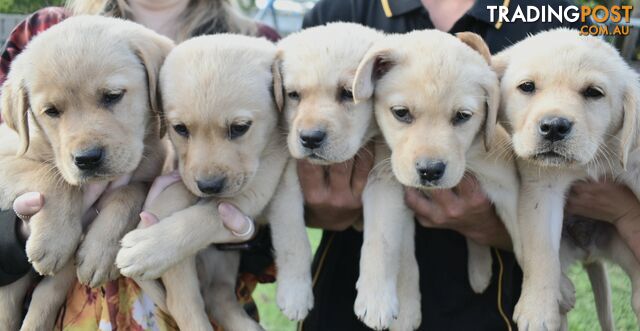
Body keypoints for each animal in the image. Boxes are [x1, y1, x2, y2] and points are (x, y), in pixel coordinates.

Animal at [0, 16, 170, 330]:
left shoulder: (147, 171)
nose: (87, 159)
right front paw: (54, 238)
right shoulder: (7, 157)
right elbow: (53, 177)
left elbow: (130, 192)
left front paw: (99, 254)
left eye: (112, 96)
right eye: (51, 111)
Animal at [115, 33, 316, 324]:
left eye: (240, 128)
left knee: (218, 299)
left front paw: (147, 246)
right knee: (186, 304)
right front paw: (149, 233)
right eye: (180, 129)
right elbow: (179, 196)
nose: (209, 187)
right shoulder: (183, 174)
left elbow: (204, 217)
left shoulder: (258, 187)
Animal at [348, 29, 516, 330]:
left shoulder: (507, 186)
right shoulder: (393, 188)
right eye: (401, 113)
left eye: (462, 116)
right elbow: (390, 245)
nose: (430, 170)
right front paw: (392, 306)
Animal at [496, 28, 640, 331]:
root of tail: (589, 252)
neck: (593, 158)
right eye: (527, 87)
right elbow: (541, 253)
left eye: (593, 93)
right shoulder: (543, 189)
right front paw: (536, 310)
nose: (553, 127)